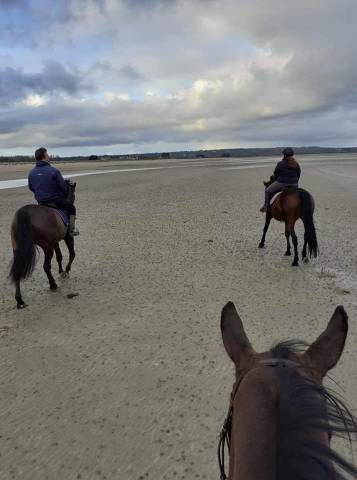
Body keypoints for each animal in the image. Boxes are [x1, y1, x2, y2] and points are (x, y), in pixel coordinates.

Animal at [9, 179, 76, 308]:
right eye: (73, 193)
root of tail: (25, 212)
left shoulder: (55, 242)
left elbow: (59, 256)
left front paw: (61, 271)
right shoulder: (67, 237)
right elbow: (72, 254)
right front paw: (66, 270)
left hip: (18, 249)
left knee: (18, 269)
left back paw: (19, 300)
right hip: (47, 247)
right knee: (46, 266)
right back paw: (53, 285)